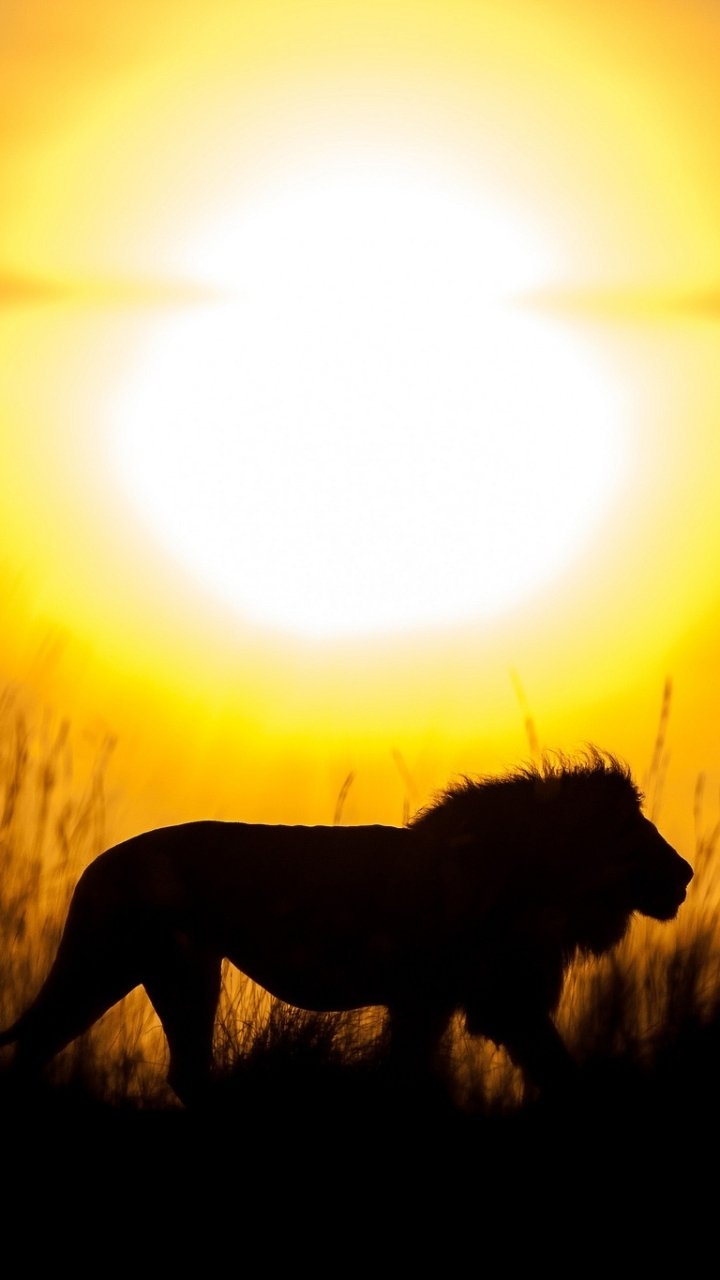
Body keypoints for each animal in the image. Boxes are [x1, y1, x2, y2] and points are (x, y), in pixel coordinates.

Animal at [0, 749, 692, 1106]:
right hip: (159, 967)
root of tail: (97, 866)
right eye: (634, 831)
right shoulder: (458, 998)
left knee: (53, 1044)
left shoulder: (461, 1001)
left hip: (135, 971)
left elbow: (549, 1066)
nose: (685, 873)